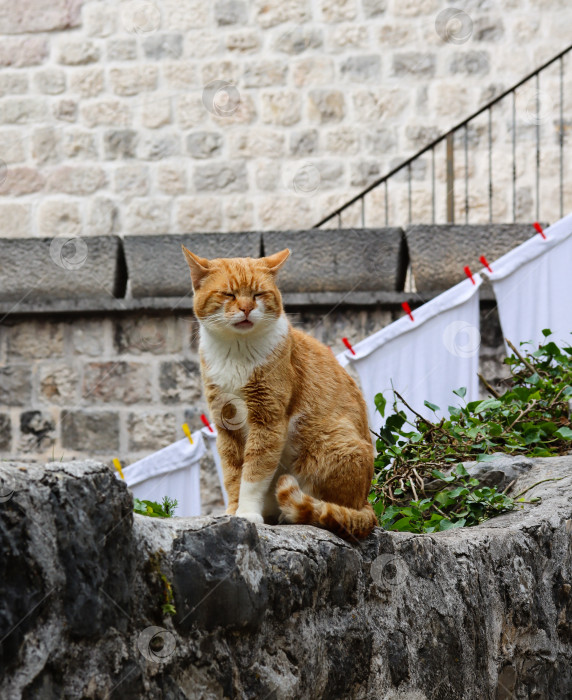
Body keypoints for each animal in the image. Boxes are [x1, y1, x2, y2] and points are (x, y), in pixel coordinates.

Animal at [183, 246, 378, 540]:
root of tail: (366, 501)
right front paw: (233, 510)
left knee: (328, 507)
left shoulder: (268, 419)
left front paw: (248, 512)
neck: (236, 352)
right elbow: (233, 475)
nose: (246, 308)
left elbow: (254, 472)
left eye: (258, 294)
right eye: (229, 294)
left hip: (332, 443)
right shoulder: (226, 425)